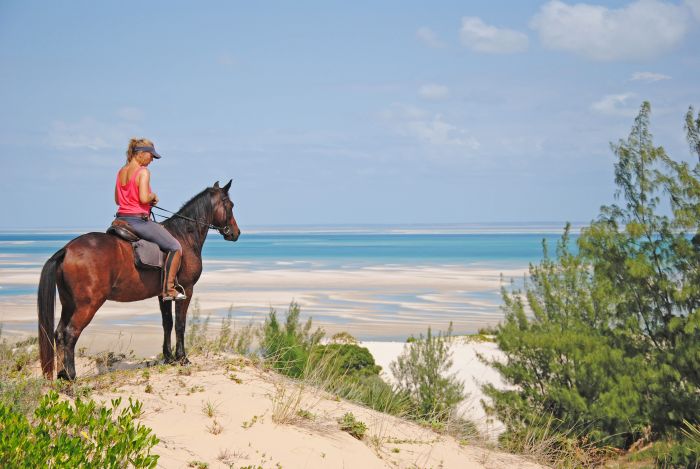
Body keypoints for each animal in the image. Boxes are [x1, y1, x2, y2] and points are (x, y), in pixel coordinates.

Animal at [37, 180, 241, 380]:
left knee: (59, 334)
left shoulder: (163, 295)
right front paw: (182, 358)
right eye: (230, 205)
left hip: (68, 303)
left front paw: (168, 357)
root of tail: (67, 249)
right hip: (88, 305)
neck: (184, 236)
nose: (235, 233)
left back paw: (61, 374)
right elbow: (180, 324)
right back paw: (71, 375)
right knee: (70, 333)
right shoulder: (187, 289)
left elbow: (167, 323)